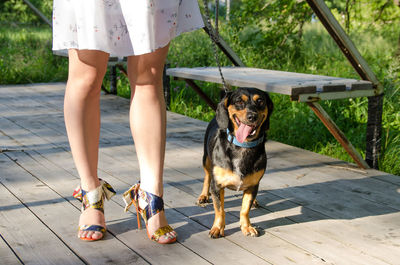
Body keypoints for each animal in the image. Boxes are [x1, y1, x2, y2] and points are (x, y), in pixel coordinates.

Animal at [196, 86, 272, 237]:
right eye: (239, 101)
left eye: (260, 101)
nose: (252, 116)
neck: (243, 146)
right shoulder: (217, 186)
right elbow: (220, 210)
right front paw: (218, 228)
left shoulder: (253, 186)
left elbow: (245, 209)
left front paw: (246, 226)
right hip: (206, 160)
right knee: (207, 176)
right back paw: (204, 195)